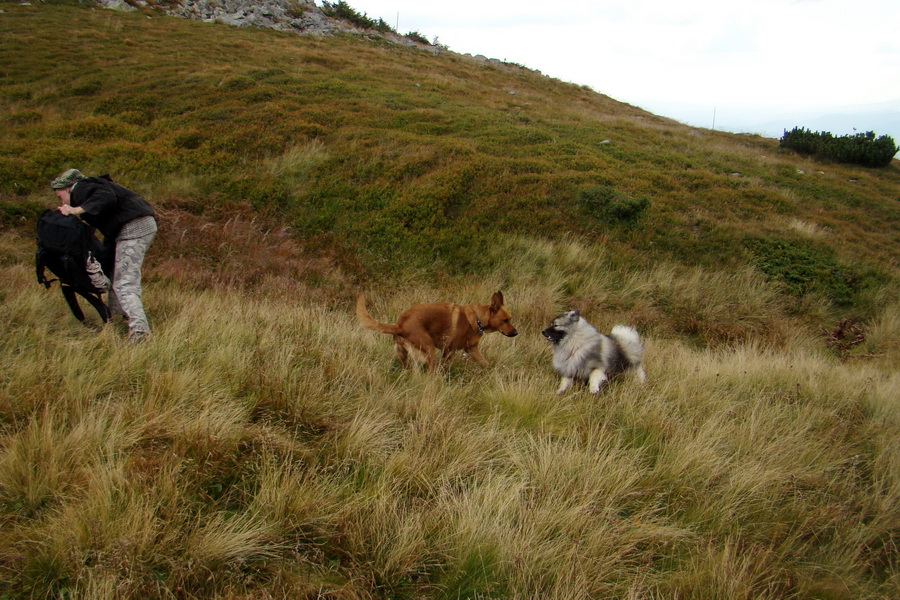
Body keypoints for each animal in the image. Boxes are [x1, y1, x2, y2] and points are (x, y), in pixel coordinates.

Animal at [356, 292, 516, 370]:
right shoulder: (449, 351)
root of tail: (400, 325)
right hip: (429, 350)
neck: (477, 319)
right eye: (505, 320)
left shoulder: (472, 350)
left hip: (404, 355)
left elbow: (486, 364)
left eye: (510, 319)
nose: (516, 333)